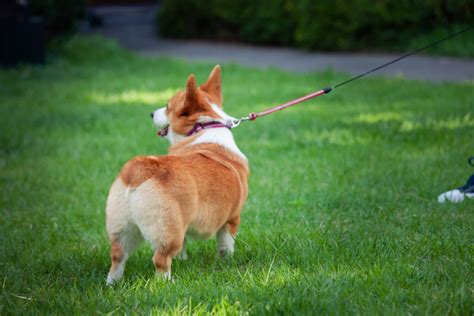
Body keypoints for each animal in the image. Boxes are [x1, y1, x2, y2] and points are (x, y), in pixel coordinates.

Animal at [105, 65, 250, 286]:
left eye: (167, 106)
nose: (150, 113)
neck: (204, 128)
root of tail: (139, 169)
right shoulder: (232, 219)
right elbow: (226, 245)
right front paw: (226, 262)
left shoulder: (186, 224)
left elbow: (185, 246)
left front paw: (183, 260)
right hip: (168, 230)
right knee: (161, 259)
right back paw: (165, 284)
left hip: (121, 228)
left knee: (117, 257)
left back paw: (112, 284)